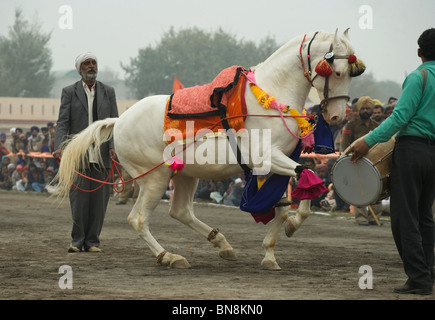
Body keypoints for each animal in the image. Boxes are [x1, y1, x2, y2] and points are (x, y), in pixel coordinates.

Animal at [57, 29, 364, 270]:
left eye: (352, 74)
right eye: (336, 72)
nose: (337, 116)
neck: (267, 99)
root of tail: (119, 120)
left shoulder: (275, 164)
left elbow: (290, 197)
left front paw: (271, 250)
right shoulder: (266, 158)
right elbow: (305, 182)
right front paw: (289, 227)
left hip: (184, 174)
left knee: (180, 212)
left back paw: (221, 243)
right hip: (155, 178)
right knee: (138, 219)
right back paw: (169, 256)